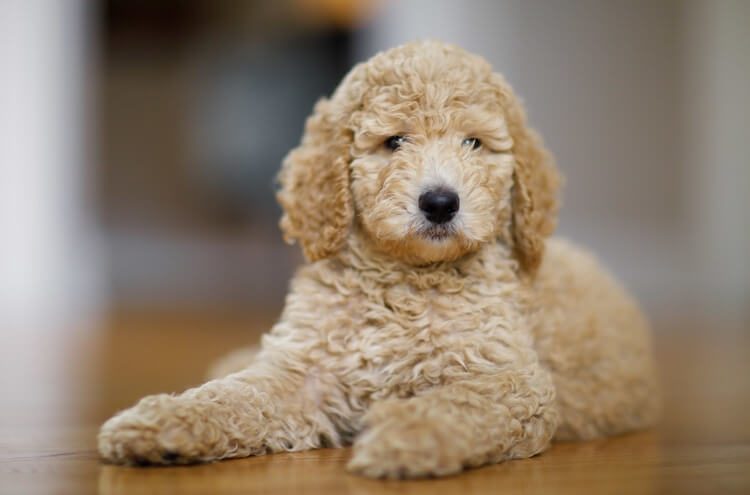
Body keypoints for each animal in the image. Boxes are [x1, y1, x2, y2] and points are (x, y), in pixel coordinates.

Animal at [98, 42, 656, 480]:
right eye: (395, 142)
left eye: (473, 143)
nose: (440, 202)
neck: (406, 279)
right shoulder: (305, 371)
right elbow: (233, 397)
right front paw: (163, 423)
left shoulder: (511, 379)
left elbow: (458, 404)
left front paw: (406, 433)